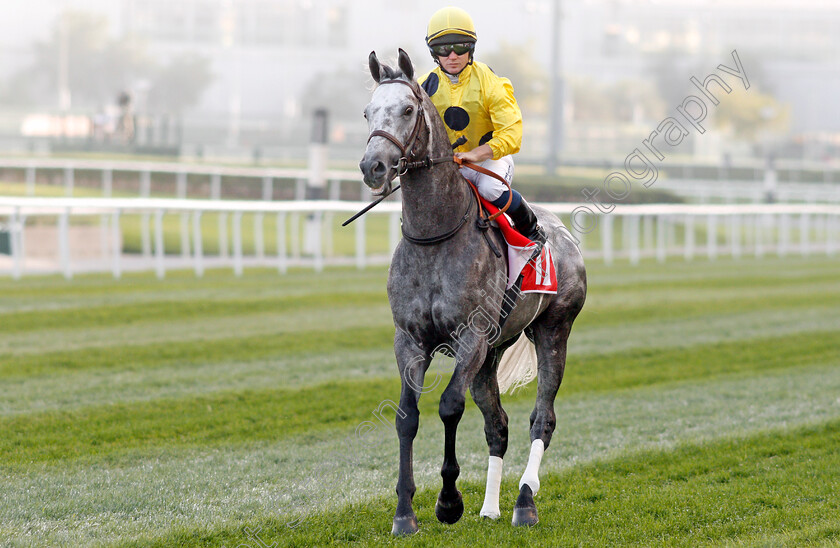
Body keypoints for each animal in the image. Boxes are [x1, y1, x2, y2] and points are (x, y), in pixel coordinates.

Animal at [358, 49, 588, 532]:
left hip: (553, 330)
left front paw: (448, 501)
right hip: (493, 352)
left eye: (407, 110)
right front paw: (404, 513)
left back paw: (524, 501)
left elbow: (449, 406)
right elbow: (407, 418)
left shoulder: (470, 336)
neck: (435, 235)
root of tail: (563, 233)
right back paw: (490, 507)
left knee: (542, 419)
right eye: (368, 111)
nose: (373, 167)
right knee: (497, 424)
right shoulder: (410, 340)